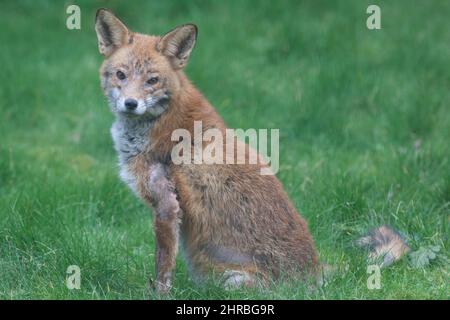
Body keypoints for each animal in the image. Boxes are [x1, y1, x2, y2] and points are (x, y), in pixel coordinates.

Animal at [96, 8, 412, 294]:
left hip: (230, 282)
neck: (161, 123)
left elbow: (163, 267)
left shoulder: (166, 205)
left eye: (152, 80)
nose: (131, 103)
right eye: (121, 75)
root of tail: (315, 271)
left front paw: (158, 294)